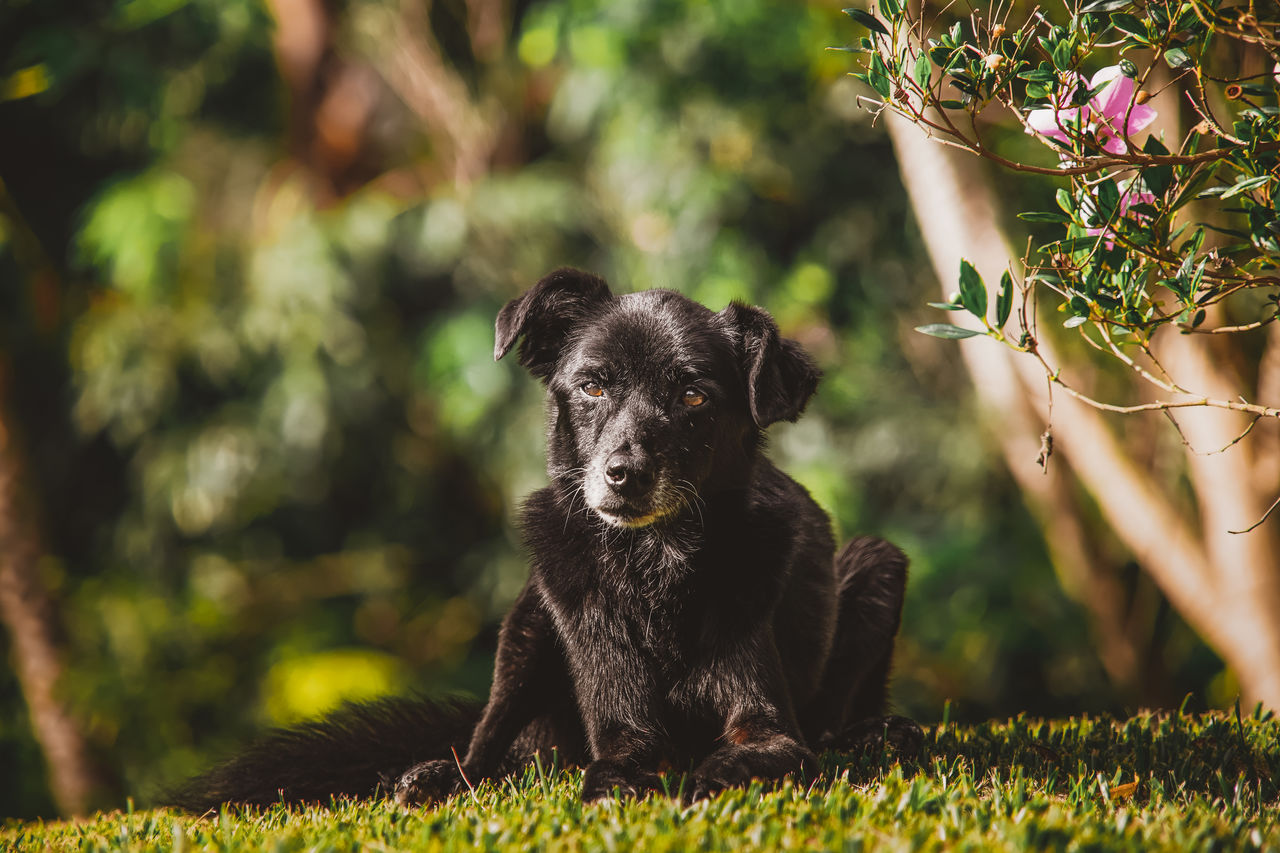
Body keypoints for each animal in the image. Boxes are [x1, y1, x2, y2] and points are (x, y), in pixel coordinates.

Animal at [177, 268, 921, 809]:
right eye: (591, 386)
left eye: (694, 397)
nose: (624, 476)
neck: (653, 568)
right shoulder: (620, 725)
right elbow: (612, 767)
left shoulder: (769, 728)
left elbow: (745, 758)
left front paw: (703, 781)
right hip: (531, 622)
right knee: (486, 746)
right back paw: (435, 775)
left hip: (879, 561)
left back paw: (878, 731)